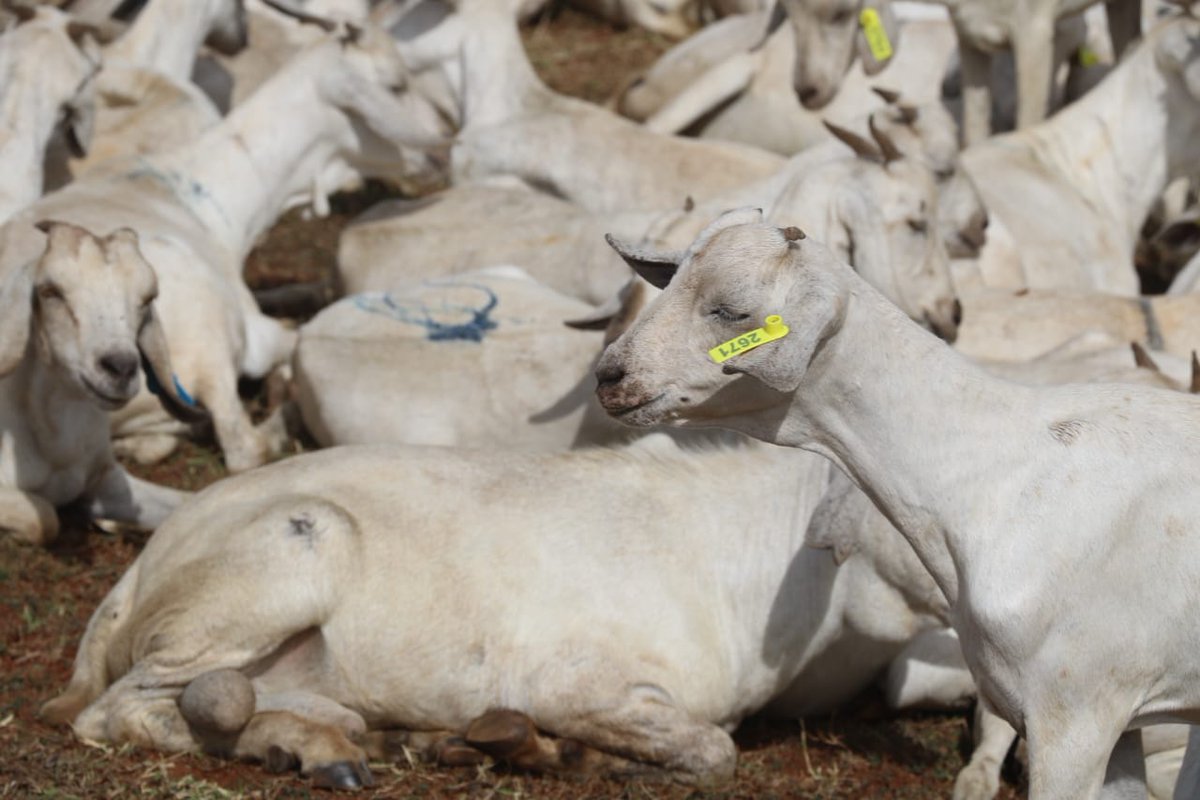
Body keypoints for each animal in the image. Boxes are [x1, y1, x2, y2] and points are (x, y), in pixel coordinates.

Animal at [0, 222, 198, 546]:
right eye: (50, 291)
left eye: (148, 298)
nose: (120, 368)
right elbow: (46, 520)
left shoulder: (103, 478)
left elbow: (188, 502)